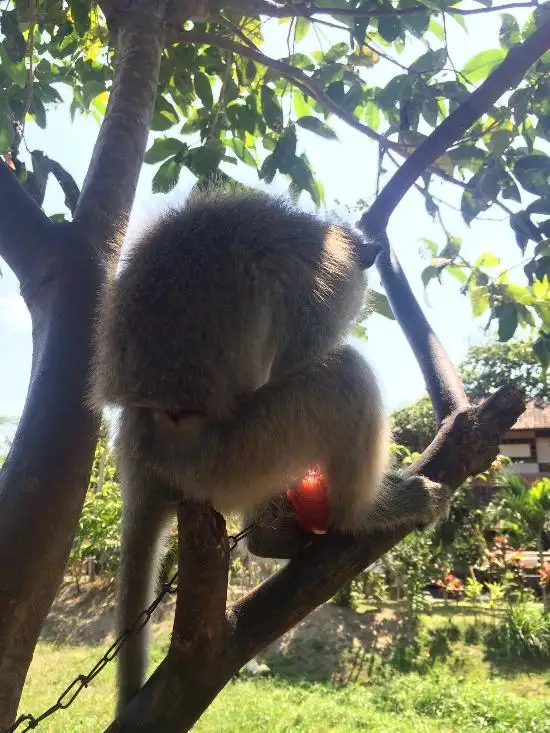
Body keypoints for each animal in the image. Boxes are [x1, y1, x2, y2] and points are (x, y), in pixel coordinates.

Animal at [91, 187, 452, 708]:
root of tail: (140, 436)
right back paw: (358, 515)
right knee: (344, 377)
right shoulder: (322, 279)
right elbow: (297, 358)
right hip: (224, 456)